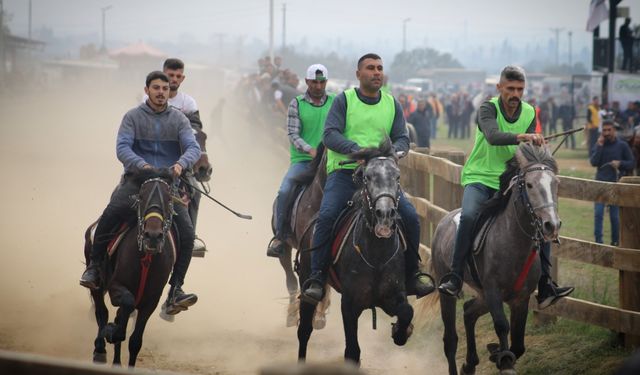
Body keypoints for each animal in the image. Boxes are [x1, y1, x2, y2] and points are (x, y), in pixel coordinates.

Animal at [296, 141, 412, 364]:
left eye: (397, 176)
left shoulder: (393, 296)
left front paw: (401, 332)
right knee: (304, 330)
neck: (376, 255)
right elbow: (352, 352)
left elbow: (406, 312)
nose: (385, 214)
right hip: (306, 280)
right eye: (368, 177)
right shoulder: (350, 305)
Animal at [430, 145, 560, 375]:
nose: (551, 224)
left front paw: (496, 352)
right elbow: (502, 326)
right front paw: (502, 358)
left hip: (482, 296)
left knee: (469, 311)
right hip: (449, 291)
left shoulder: (520, 299)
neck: (512, 241)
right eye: (529, 184)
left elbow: (518, 345)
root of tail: (443, 221)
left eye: (555, 183)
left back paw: (470, 364)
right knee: (450, 340)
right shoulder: (493, 292)